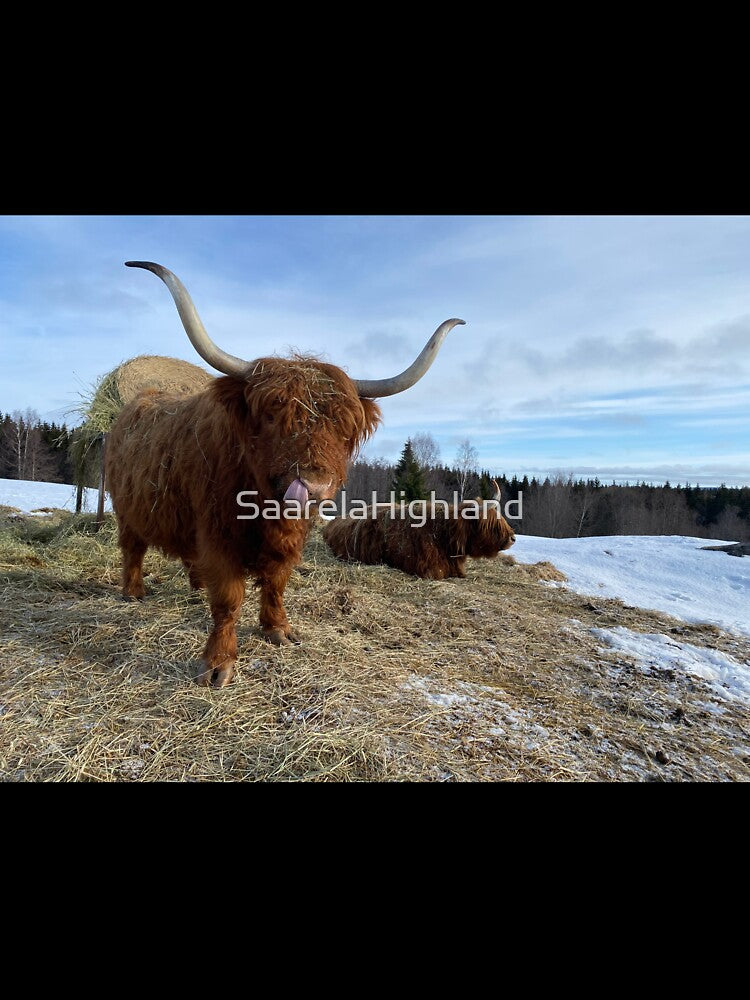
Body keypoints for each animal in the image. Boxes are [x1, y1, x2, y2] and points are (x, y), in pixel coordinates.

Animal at [105, 261, 464, 688]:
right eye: (274, 414)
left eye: (344, 427)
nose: (314, 486)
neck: (264, 507)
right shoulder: (218, 535)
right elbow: (228, 598)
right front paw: (217, 664)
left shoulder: (288, 540)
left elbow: (276, 583)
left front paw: (277, 629)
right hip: (126, 511)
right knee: (133, 549)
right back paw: (133, 591)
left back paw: (194, 587)